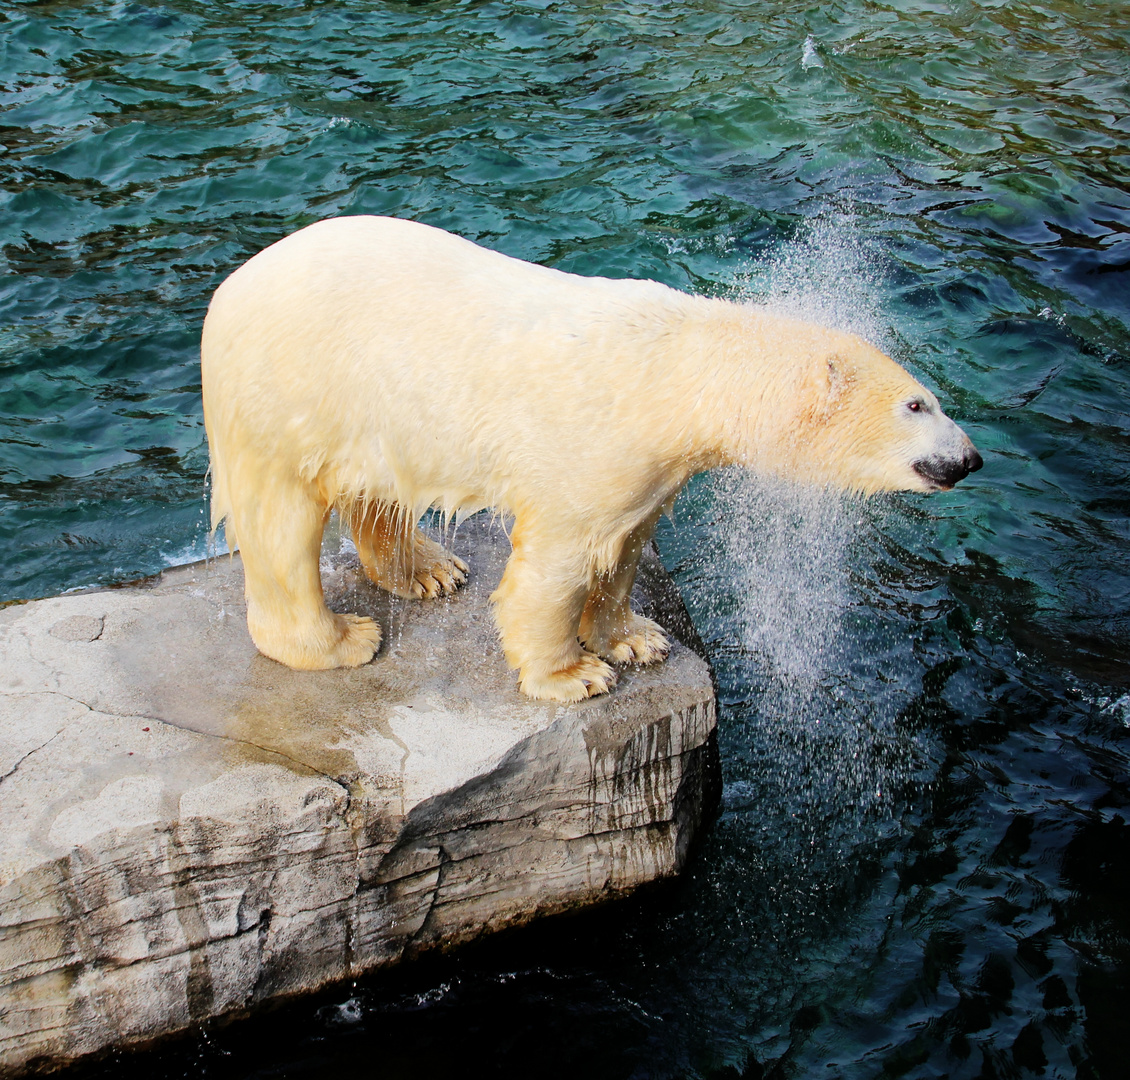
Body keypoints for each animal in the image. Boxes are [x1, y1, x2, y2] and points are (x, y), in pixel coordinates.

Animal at [201, 219, 980, 704]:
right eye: (917, 405)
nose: (969, 459)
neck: (677, 369)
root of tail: (225, 294)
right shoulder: (590, 451)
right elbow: (554, 569)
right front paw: (575, 676)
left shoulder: (649, 472)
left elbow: (627, 546)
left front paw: (637, 638)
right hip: (288, 397)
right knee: (280, 529)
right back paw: (341, 640)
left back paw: (430, 570)